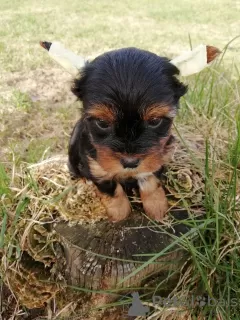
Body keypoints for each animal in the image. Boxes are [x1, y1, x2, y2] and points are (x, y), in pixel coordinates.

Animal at [67, 47, 188, 221]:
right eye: (102, 123)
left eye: (155, 120)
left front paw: (157, 208)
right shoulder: (96, 166)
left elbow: (151, 182)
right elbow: (111, 190)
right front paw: (120, 214)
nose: (130, 162)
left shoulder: (157, 157)